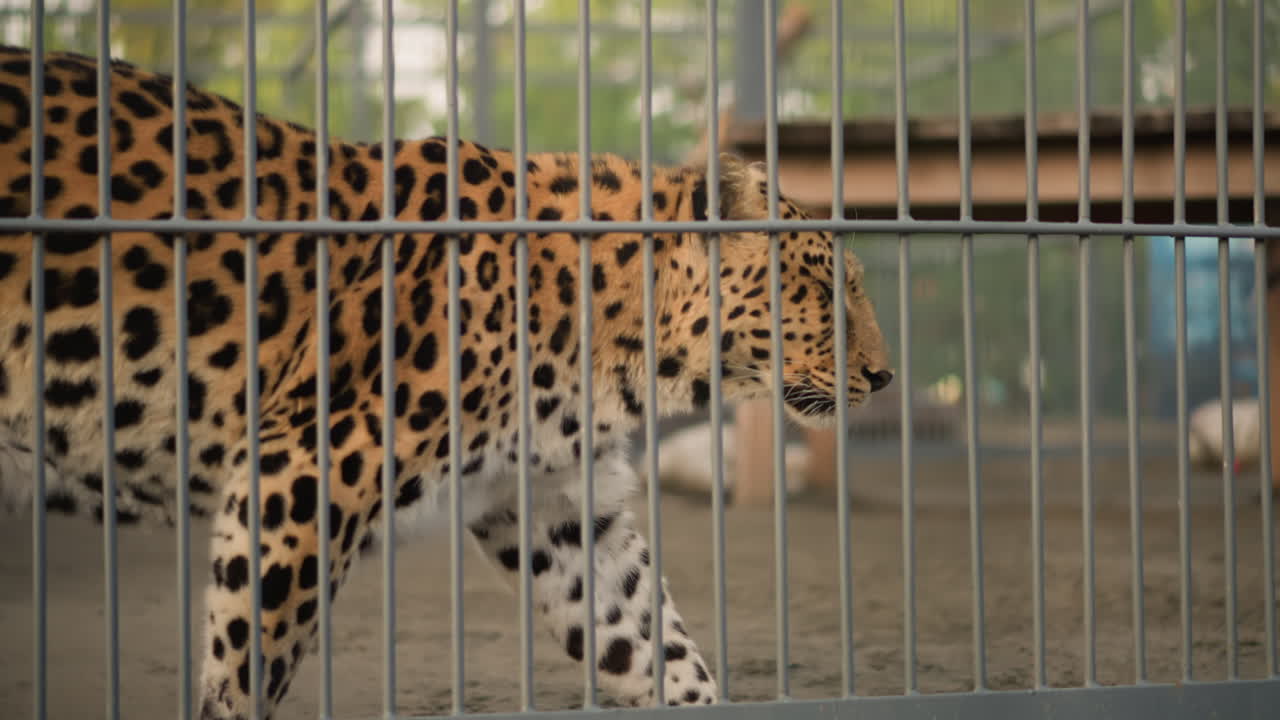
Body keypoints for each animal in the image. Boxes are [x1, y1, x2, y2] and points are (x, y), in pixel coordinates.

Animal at [0, 46, 892, 719]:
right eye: (826, 286)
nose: (885, 377)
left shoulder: (556, 509)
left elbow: (653, 643)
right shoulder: (302, 471)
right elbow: (244, 668)